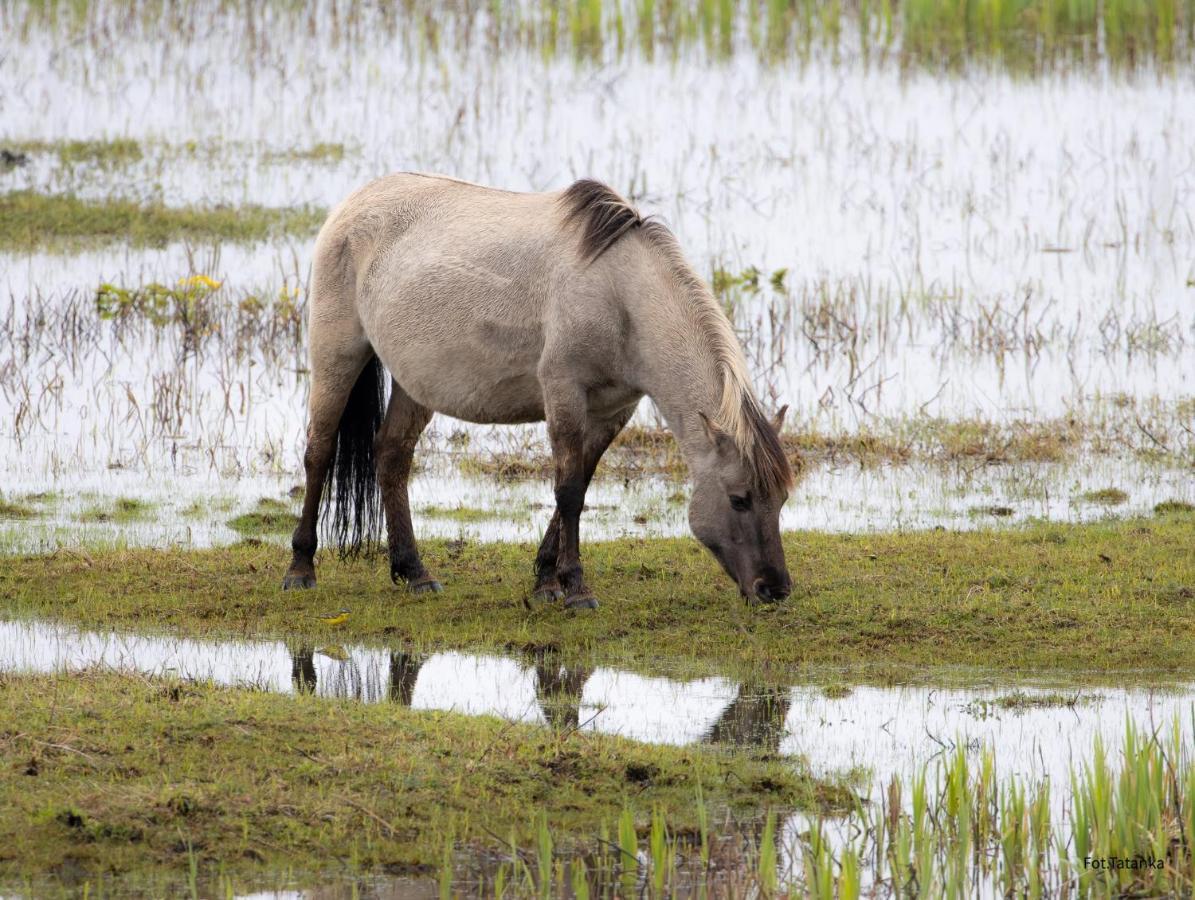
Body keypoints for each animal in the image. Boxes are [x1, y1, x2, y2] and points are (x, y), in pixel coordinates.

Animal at [282, 172, 793, 607]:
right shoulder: (564, 393)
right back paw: (301, 569)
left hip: (414, 383)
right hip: (337, 355)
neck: (621, 296)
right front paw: (576, 589)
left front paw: (547, 580)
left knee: (391, 455)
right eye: (739, 499)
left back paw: (415, 573)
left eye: (782, 499)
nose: (774, 589)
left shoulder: (612, 410)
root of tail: (354, 203)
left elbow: (580, 484)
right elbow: (567, 492)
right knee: (320, 452)